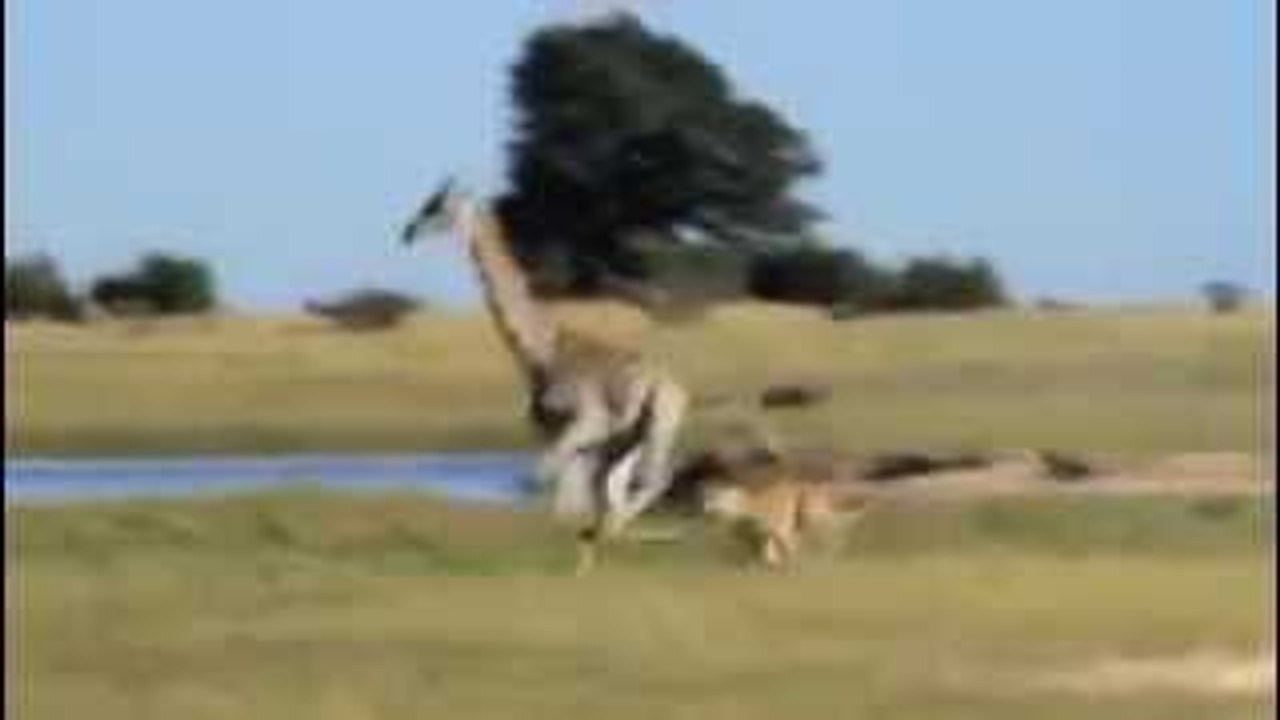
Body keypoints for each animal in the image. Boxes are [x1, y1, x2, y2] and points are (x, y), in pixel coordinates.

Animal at [401, 178, 689, 574]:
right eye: (429, 203)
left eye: (440, 206)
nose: (408, 232)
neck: (541, 351)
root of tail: (679, 389)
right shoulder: (562, 434)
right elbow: (560, 500)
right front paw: (579, 562)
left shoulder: (586, 423)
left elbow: (543, 486)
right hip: (627, 441)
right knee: (619, 491)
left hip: (657, 426)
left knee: (651, 481)